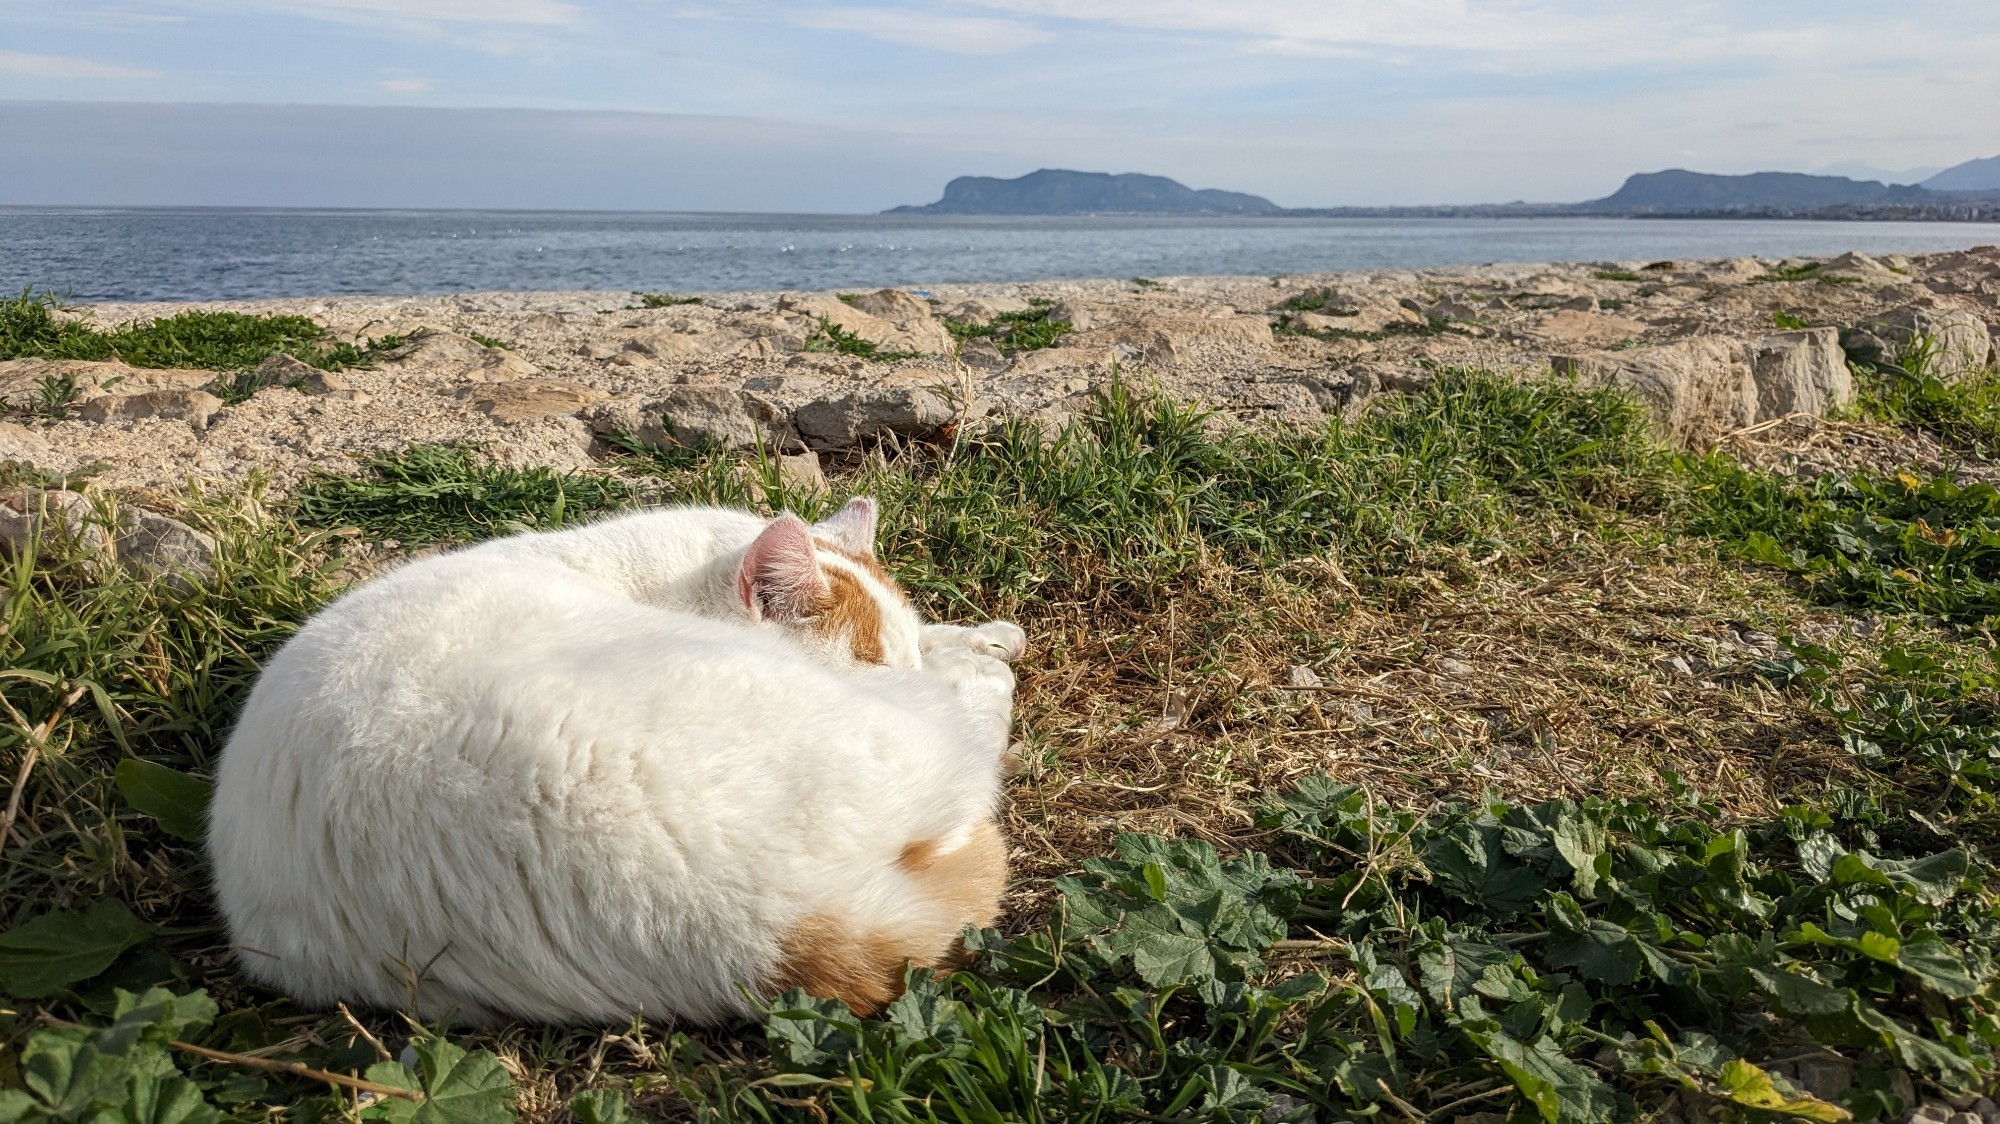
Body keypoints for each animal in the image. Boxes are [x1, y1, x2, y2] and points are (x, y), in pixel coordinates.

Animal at [205, 494, 1024, 1020]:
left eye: (897, 650)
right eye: (871, 660)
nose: (909, 675)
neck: (656, 577)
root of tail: (753, 914)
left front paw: (978, 634)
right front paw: (975, 657)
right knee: (972, 757)